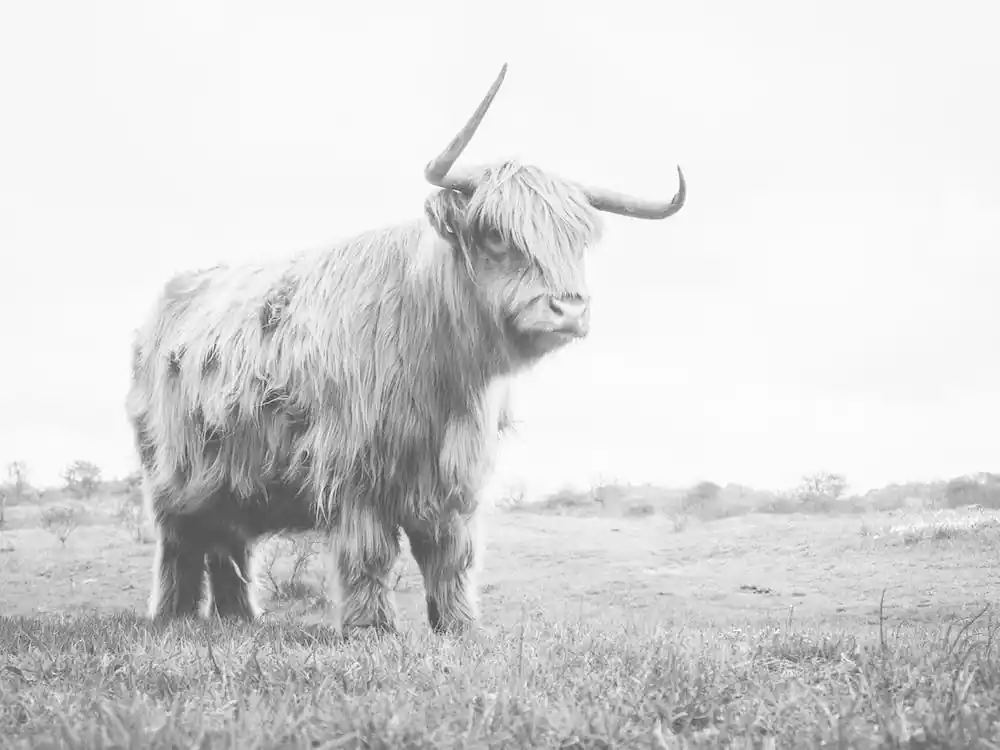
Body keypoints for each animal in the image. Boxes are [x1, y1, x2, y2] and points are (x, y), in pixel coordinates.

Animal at [125, 63, 686, 635]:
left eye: (575, 241)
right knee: (181, 541)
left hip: (228, 475)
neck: (444, 374)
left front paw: (460, 627)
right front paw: (372, 629)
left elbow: (451, 554)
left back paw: (239, 619)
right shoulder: (354, 467)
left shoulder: (456, 476)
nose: (569, 309)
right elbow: (370, 551)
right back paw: (173, 616)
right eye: (495, 234)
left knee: (228, 543)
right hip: (171, 473)